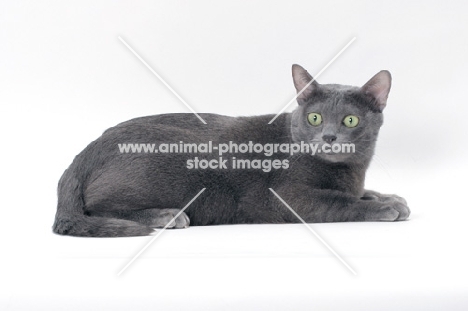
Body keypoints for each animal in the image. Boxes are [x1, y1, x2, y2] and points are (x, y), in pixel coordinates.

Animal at [52, 64, 410, 238]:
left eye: (350, 119)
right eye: (315, 118)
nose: (330, 137)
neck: (349, 169)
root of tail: (84, 154)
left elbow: (358, 192)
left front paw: (388, 196)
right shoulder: (287, 198)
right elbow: (340, 201)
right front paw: (386, 207)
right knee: (95, 208)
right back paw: (167, 216)